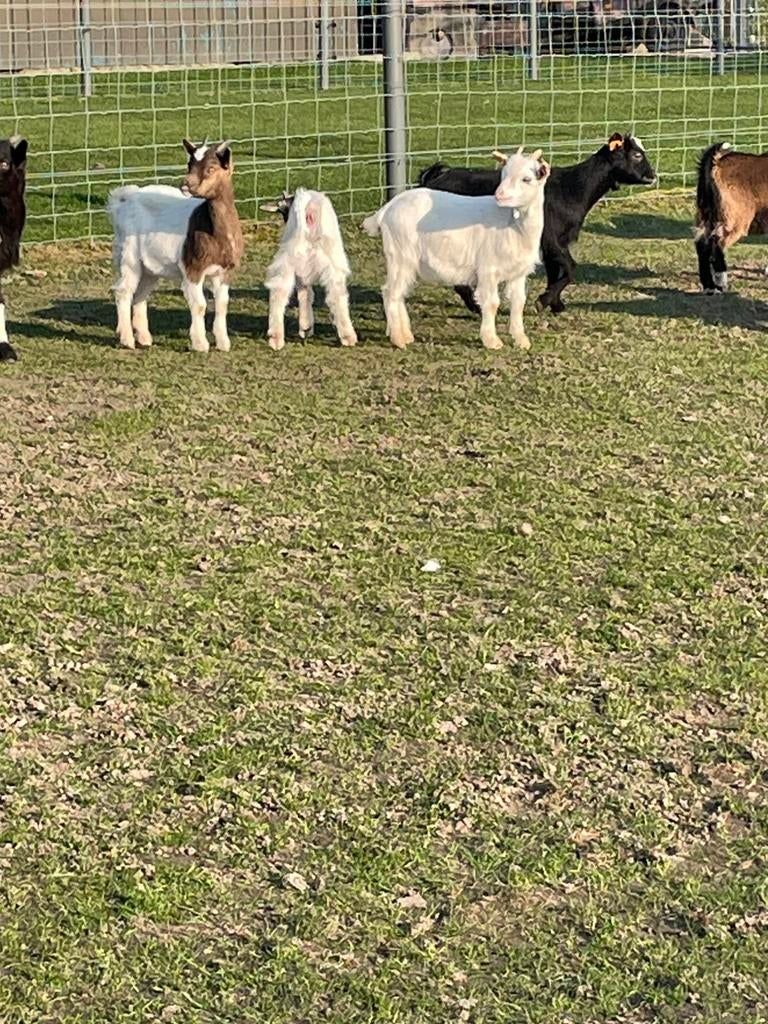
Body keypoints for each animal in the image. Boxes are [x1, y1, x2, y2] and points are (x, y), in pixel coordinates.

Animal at [107, 138, 243, 352]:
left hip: (149, 267)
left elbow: (222, 304)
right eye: (190, 164)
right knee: (123, 291)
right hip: (128, 255)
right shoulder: (192, 267)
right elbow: (200, 305)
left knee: (141, 294)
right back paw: (127, 339)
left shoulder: (225, 271)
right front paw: (200, 344)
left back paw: (144, 338)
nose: (186, 184)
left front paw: (223, 343)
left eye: (211, 168)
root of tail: (124, 200)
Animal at [264, 188, 357, 350]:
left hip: (289, 256)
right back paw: (348, 336)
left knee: (280, 290)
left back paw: (276, 338)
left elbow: (304, 292)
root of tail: (306, 204)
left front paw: (306, 327)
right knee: (337, 293)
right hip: (332, 258)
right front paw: (306, 327)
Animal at [363, 147, 549, 351]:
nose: (499, 195)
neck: (514, 226)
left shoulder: (518, 273)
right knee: (390, 292)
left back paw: (406, 334)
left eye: (527, 179)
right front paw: (492, 340)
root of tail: (387, 209)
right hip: (400, 254)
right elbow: (492, 303)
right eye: (504, 174)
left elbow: (518, 302)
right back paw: (398, 339)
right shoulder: (488, 269)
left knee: (400, 293)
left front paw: (521, 340)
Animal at [418, 132, 656, 315]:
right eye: (636, 155)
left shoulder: (555, 242)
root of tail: (437, 176)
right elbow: (570, 267)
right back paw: (476, 306)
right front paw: (543, 302)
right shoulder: (550, 238)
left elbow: (554, 271)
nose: (653, 175)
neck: (572, 188)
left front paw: (555, 304)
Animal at [694, 142, 768, 293]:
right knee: (718, 243)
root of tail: (716, 163)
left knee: (702, 244)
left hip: (706, 215)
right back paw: (721, 283)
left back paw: (709, 286)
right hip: (734, 219)